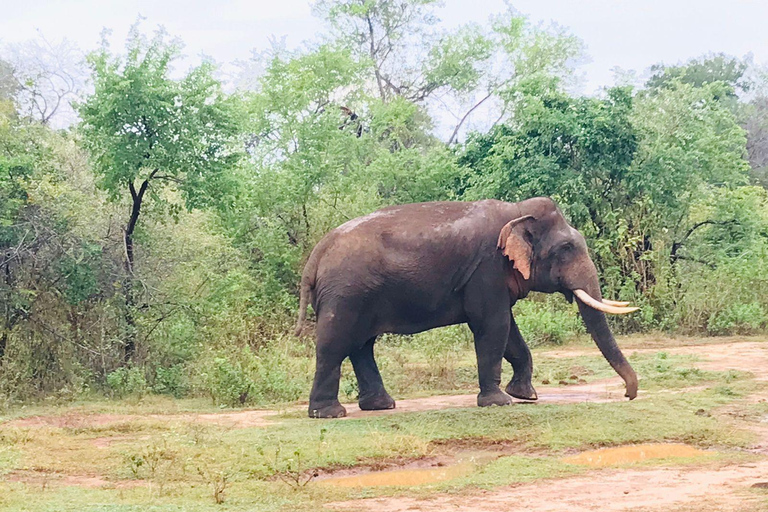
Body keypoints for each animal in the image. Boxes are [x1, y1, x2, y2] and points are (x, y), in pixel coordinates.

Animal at [296, 198, 640, 418]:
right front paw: (500, 402)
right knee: (335, 344)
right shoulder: (486, 269)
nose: (628, 395)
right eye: (566, 248)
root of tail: (316, 255)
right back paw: (329, 414)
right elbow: (493, 326)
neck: (516, 212)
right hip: (345, 293)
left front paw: (525, 396)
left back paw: (381, 406)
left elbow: (509, 331)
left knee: (361, 345)